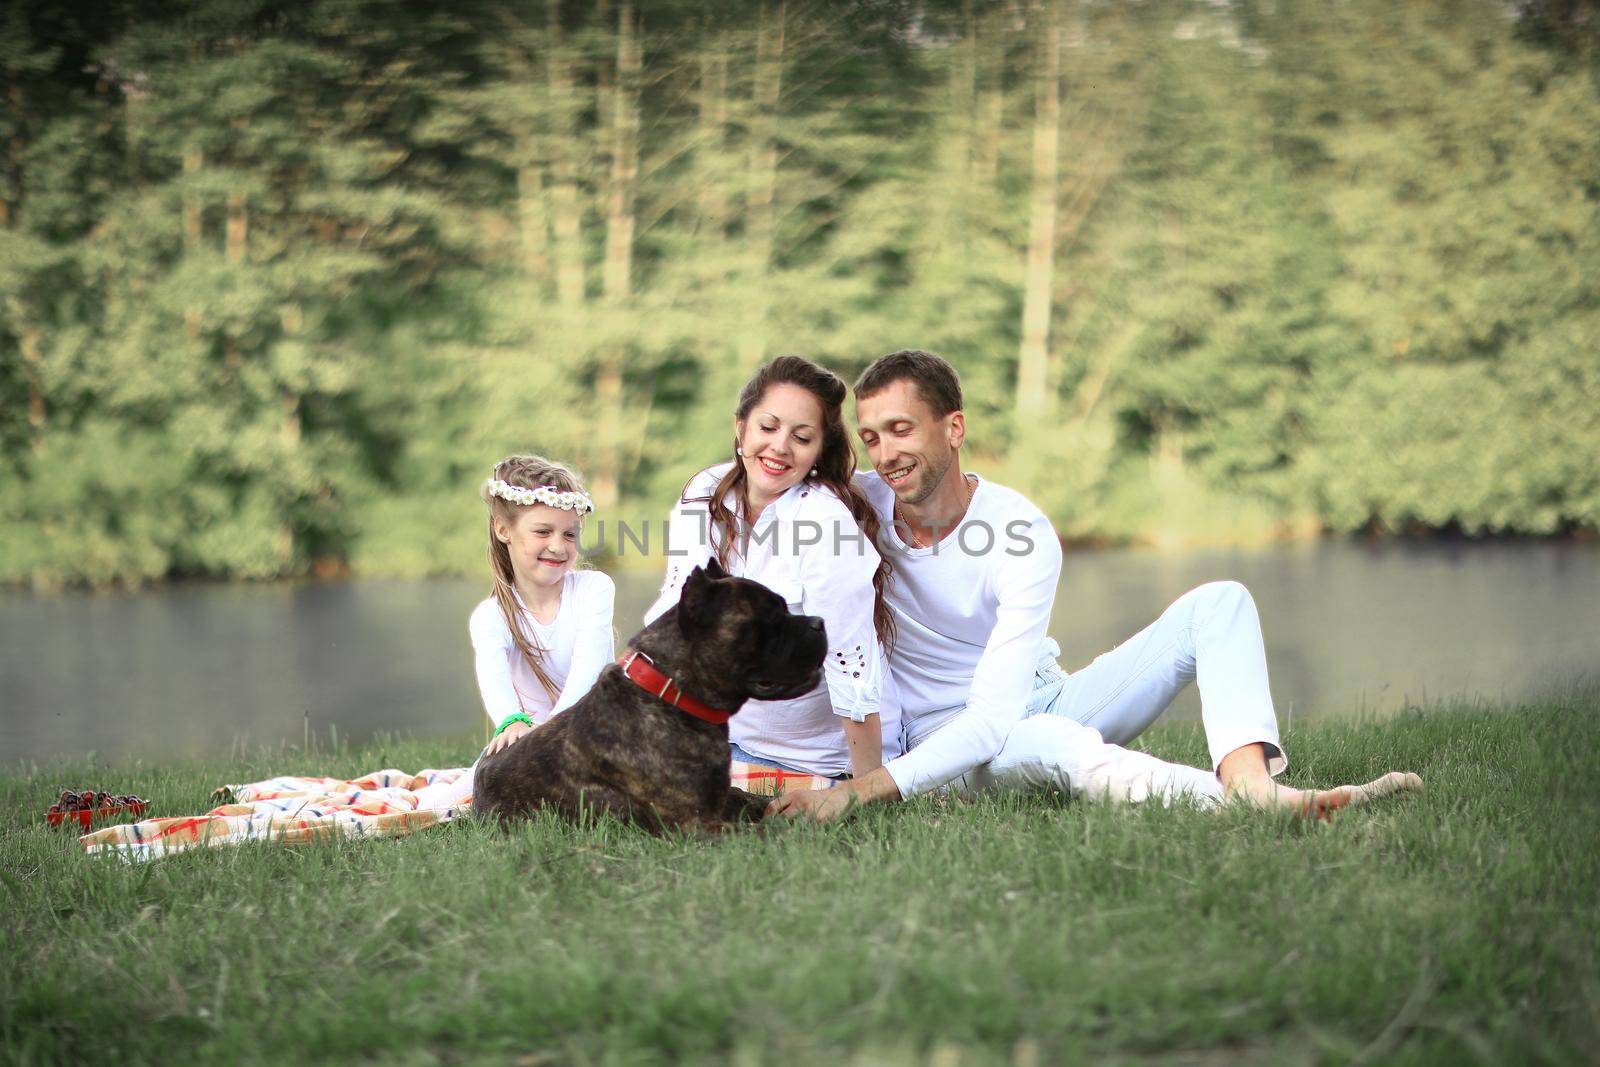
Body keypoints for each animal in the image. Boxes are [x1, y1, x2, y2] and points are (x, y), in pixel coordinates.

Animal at [470, 559, 825, 831]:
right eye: (771, 617)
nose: (819, 622)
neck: (670, 695)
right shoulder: (696, 825)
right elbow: (770, 829)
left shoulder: (721, 798)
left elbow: (757, 800)